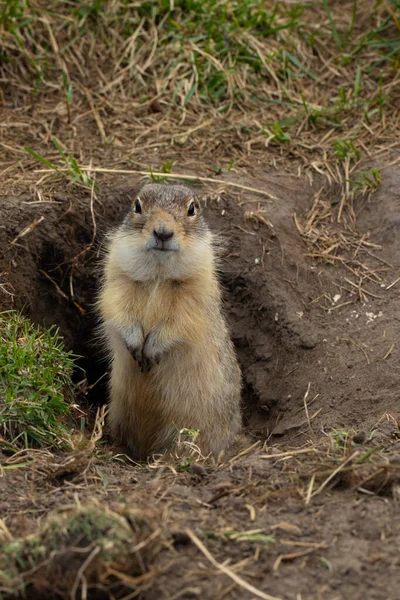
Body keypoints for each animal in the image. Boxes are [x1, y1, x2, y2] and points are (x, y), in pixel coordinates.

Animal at [98, 183, 242, 460]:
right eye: (137, 205)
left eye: (192, 208)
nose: (163, 232)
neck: (158, 275)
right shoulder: (119, 280)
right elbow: (117, 308)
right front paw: (135, 344)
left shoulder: (194, 294)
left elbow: (179, 321)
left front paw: (151, 350)